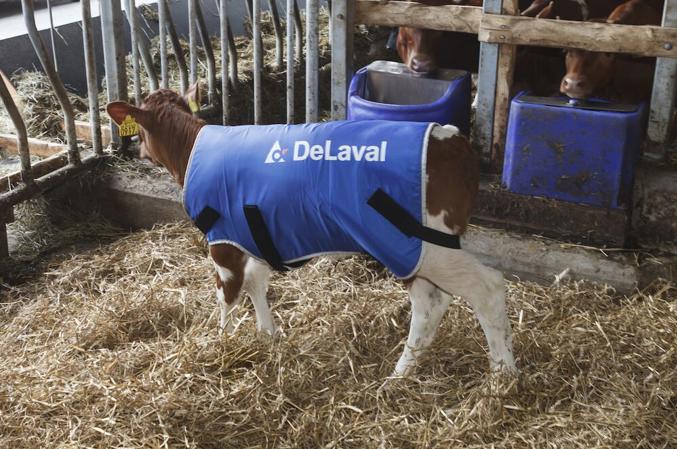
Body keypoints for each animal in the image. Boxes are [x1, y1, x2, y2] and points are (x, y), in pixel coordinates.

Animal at [105, 86, 517, 377]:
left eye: (140, 132)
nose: (138, 152)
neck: (191, 149)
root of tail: (453, 139)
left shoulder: (222, 242)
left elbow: (227, 293)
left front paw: (220, 342)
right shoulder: (250, 234)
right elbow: (255, 283)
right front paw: (268, 336)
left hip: (418, 244)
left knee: (485, 288)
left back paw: (502, 376)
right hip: (414, 251)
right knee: (431, 303)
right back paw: (402, 374)